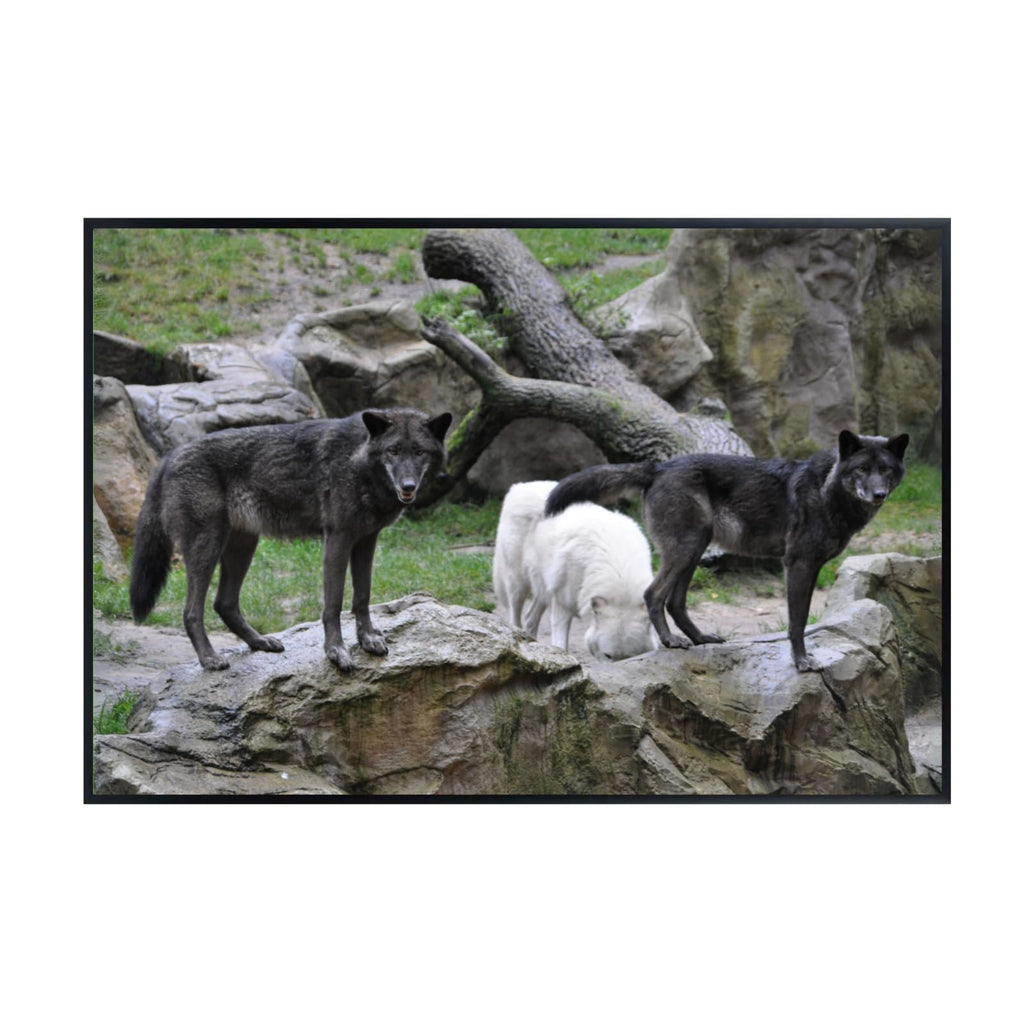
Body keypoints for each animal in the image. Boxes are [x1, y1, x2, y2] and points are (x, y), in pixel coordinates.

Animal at [129, 408, 452, 671]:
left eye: (419, 452)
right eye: (393, 451)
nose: (408, 486)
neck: (358, 461)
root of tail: (168, 456)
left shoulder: (366, 540)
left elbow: (362, 596)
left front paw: (368, 639)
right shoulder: (338, 539)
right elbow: (334, 603)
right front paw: (336, 652)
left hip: (242, 547)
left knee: (224, 604)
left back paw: (259, 642)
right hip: (207, 547)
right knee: (191, 612)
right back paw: (210, 659)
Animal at [493, 480, 659, 660]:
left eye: (630, 657)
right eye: (608, 655)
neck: (619, 572)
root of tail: (519, 487)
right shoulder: (561, 605)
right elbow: (560, 645)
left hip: (543, 588)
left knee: (529, 618)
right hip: (518, 585)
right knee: (515, 617)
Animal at [544, 431, 910, 671]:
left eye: (886, 470)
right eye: (861, 469)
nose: (878, 494)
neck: (828, 490)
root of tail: (657, 467)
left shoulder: (812, 565)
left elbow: (801, 619)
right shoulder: (799, 564)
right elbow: (798, 622)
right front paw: (802, 661)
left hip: (694, 550)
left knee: (675, 602)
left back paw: (700, 638)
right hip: (686, 549)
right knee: (653, 594)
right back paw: (671, 641)